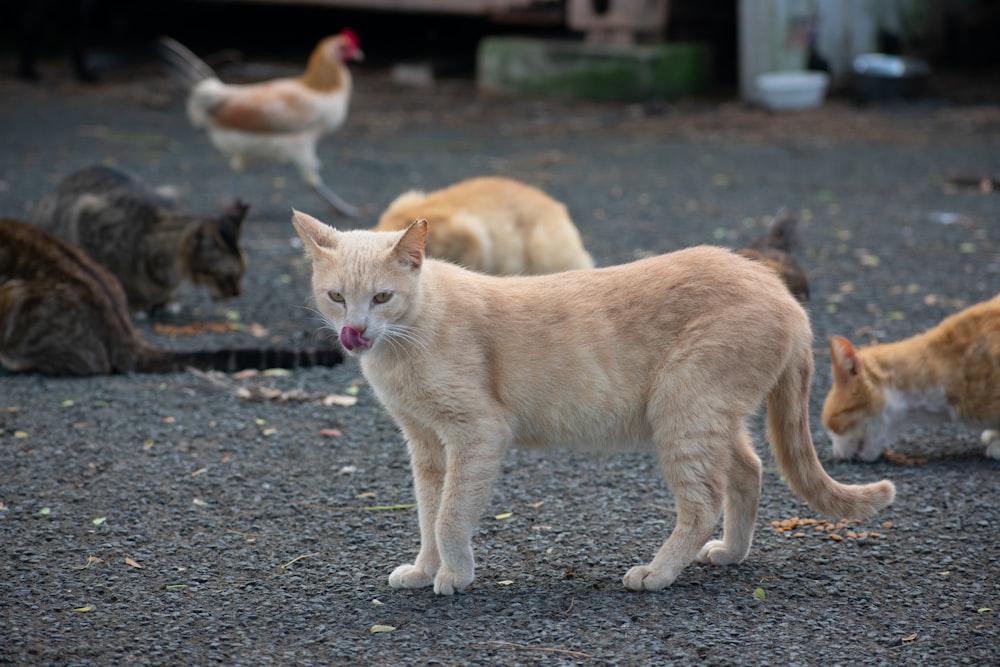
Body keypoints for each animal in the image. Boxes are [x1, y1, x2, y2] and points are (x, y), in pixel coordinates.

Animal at [31, 166, 252, 314]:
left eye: (242, 274)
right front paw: (133, 303)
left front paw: (165, 299)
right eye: (227, 276)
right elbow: (113, 278)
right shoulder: (86, 212)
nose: (238, 293)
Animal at [292, 211, 896, 596]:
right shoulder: (425, 446)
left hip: (684, 413)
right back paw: (730, 552)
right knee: (748, 472)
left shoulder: (476, 435)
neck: (404, 346)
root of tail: (780, 291)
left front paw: (455, 575)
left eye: (382, 297)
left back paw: (657, 573)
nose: (353, 331)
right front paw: (423, 570)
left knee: (703, 503)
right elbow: (426, 514)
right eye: (337, 296)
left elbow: (449, 516)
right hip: (711, 418)